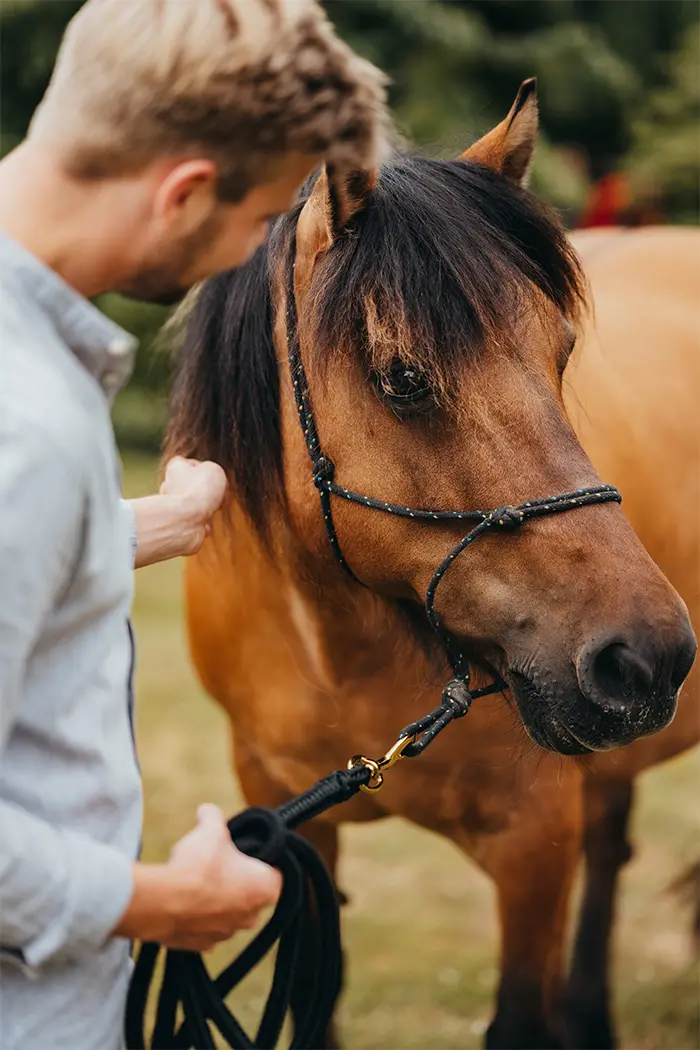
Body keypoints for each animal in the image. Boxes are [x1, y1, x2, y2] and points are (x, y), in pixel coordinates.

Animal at [165, 83, 697, 1049]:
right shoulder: (290, 817)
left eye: (562, 353)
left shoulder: (535, 846)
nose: (646, 656)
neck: (341, 649)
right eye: (404, 378)